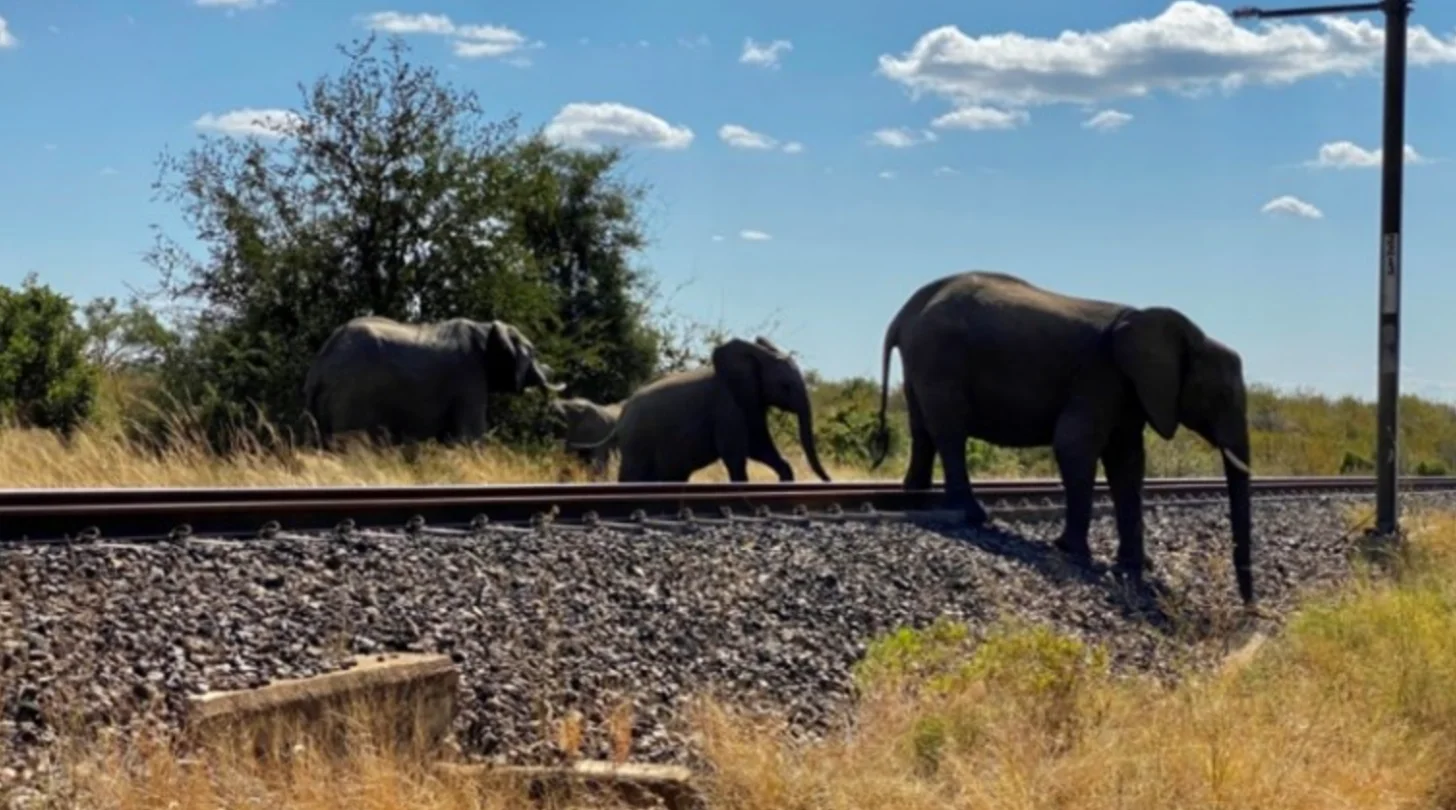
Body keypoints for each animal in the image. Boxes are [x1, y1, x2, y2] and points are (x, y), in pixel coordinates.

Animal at [303, 315, 563, 448]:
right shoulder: (469, 377)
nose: (550, 371)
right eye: (533, 353)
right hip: (351, 398)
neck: (485, 328)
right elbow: (471, 433)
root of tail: (319, 367)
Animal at [592, 336, 832, 483]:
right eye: (785, 386)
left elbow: (760, 447)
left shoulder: (751, 403)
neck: (757, 355)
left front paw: (785, 479)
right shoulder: (728, 407)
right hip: (636, 442)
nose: (829, 480)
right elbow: (736, 455)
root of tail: (621, 417)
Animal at [869, 270, 1255, 604]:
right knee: (949, 432)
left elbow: (1128, 463)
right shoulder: (1100, 376)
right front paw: (1075, 553)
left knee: (922, 429)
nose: (1250, 609)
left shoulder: (1129, 391)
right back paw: (974, 515)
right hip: (940, 357)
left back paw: (916, 497)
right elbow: (1075, 446)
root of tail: (903, 314)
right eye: (1221, 396)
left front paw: (1133, 567)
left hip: (922, 361)